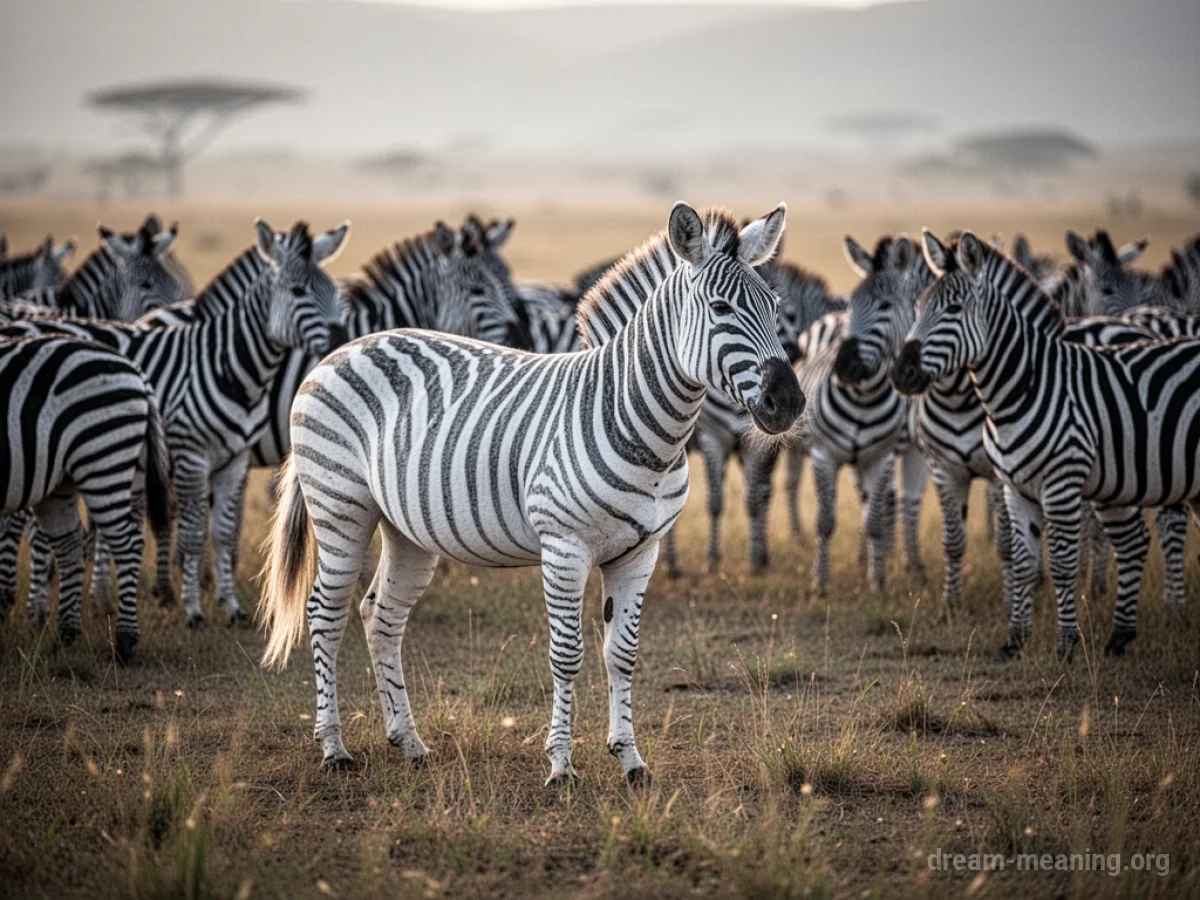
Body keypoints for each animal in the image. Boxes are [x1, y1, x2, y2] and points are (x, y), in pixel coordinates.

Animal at [0, 335, 171, 659]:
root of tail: (136, 371)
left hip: (101, 457)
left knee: (128, 543)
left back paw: (125, 641)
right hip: (61, 482)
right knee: (69, 545)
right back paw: (65, 636)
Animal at [259, 203, 805, 785]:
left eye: (775, 308)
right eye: (720, 308)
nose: (790, 402)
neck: (635, 419)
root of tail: (339, 350)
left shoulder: (641, 551)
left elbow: (623, 654)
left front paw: (631, 761)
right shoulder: (564, 547)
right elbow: (567, 655)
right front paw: (561, 765)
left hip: (406, 530)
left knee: (380, 617)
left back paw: (410, 742)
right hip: (340, 507)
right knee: (325, 614)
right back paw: (333, 748)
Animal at [894, 230, 1200, 659]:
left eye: (953, 309)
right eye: (918, 306)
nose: (900, 373)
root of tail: (1142, 326)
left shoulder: (1050, 484)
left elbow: (1051, 560)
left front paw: (1064, 641)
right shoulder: (973, 475)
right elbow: (986, 550)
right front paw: (1001, 632)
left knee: (1164, 529)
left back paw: (1171, 611)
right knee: (1134, 541)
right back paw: (1120, 634)